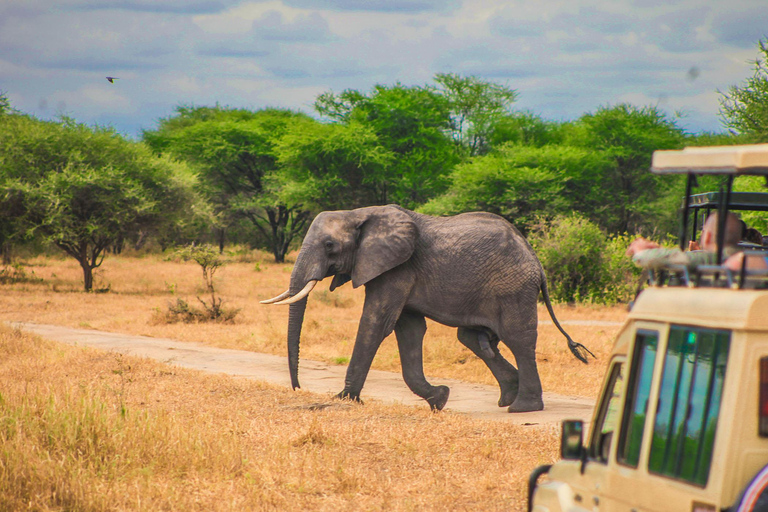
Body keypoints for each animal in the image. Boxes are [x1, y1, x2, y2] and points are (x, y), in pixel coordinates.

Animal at [264, 204, 592, 412]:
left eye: (330, 245)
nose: (298, 388)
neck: (358, 213)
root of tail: (537, 261)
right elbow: (408, 330)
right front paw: (440, 398)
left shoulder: (397, 268)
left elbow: (376, 322)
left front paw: (344, 399)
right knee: (473, 339)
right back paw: (507, 399)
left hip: (513, 288)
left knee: (518, 339)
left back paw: (523, 408)